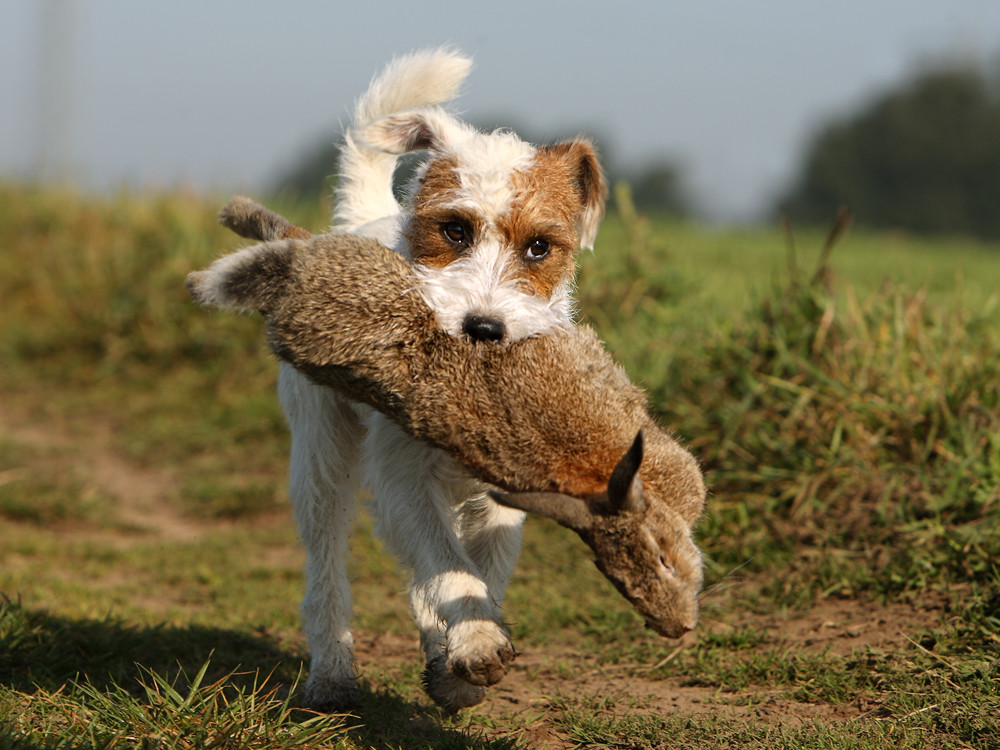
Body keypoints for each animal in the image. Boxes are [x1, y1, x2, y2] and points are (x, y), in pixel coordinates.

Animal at [280, 47, 608, 712]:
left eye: (540, 247)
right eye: (455, 229)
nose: (483, 326)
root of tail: (363, 222)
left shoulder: (504, 493)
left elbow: (481, 569)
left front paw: (462, 658)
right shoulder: (403, 473)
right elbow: (446, 562)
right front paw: (476, 642)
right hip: (320, 455)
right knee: (328, 561)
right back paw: (331, 672)